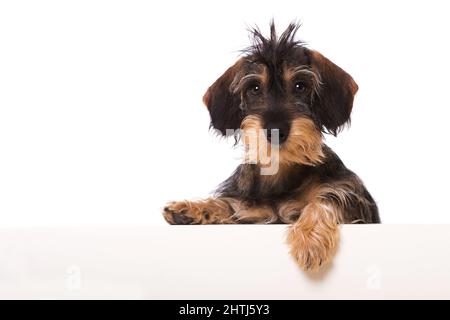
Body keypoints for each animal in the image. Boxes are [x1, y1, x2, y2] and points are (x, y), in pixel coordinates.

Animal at [163, 21, 380, 270]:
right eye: (254, 88)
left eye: (300, 86)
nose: (276, 130)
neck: (280, 172)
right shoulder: (252, 212)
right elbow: (230, 205)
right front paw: (191, 208)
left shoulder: (354, 199)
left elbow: (325, 199)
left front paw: (310, 239)